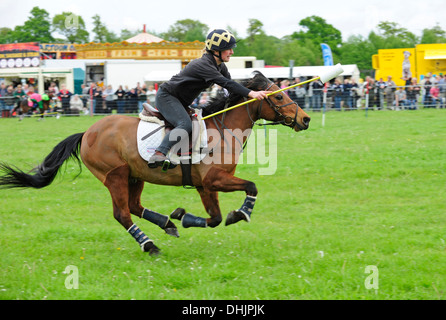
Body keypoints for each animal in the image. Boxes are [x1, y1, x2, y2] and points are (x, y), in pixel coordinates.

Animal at [0, 72, 310, 255]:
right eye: (278, 96)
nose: (305, 119)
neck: (222, 129)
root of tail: (87, 132)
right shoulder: (213, 180)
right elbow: (251, 187)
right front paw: (242, 213)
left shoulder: (204, 185)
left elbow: (214, 218)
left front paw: (183, 216)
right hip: (115, 175)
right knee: (122, 213)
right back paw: (149, 245)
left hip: (134, 176)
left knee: (134, 206)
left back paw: (167, 223)